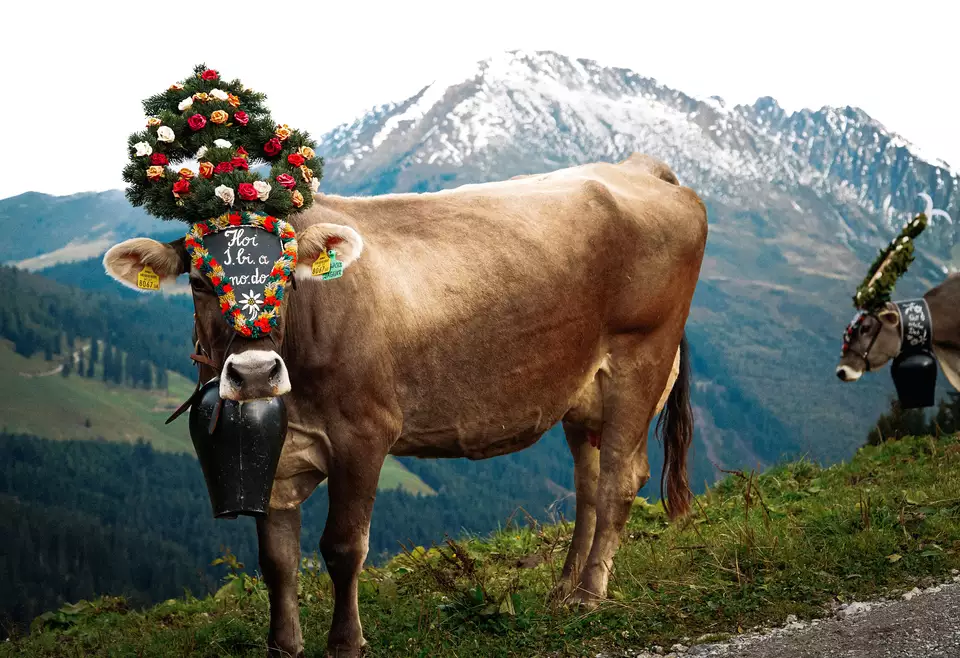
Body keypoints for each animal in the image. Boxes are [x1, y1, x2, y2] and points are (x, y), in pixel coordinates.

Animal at [103, 153, 708, 657]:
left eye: (287, 277)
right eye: (201, 282)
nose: (253, 373)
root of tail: (638, 167)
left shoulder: (364, 433)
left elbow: (343, 545)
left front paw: (346, 643)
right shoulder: (276, 448)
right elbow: (276, 558)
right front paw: (284, 645)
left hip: (641, 356)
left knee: (619, 481)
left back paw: (588, 595)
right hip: (582, 391)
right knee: (588, 482)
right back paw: (563, 587)